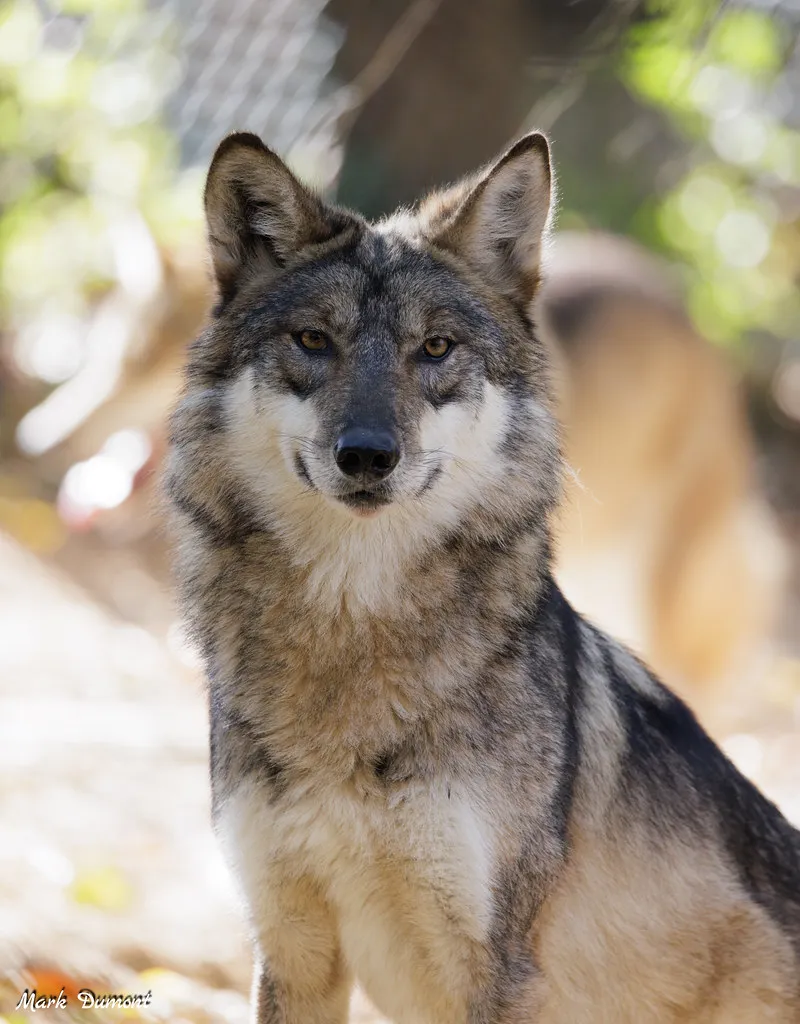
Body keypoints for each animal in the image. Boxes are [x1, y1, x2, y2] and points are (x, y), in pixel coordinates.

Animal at [166, 131, 800, 1023]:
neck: (353, 632)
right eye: (314, 341)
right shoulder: (292, 950)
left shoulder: (500, 970)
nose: (367, 455)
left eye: (435, 349)